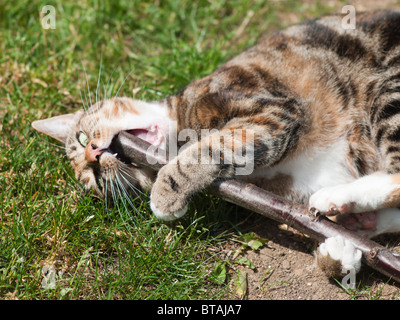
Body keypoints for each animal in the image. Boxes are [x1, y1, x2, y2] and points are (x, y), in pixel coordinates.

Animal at [32, 10, 400, 278]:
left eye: (80, 137)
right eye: (96, 182)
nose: (93, 157)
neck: (179, 117)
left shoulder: (273, 110)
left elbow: (210, 148)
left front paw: (166, 194)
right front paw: (340, 250)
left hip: (388, 88)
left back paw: (336, 200)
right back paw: (355, 219)